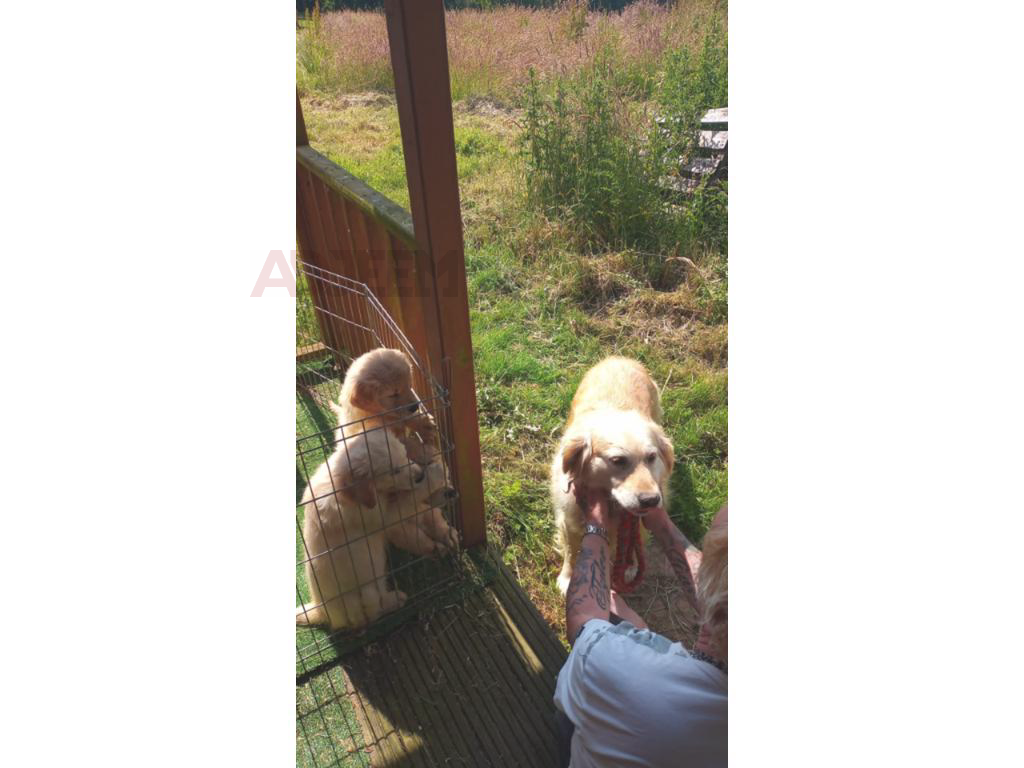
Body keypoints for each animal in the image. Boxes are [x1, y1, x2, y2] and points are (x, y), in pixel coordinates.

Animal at [296, 426, 450, 632]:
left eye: (404, 454)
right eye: (394, 471)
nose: (419, 475)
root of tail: (322, 611)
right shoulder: (380, 516)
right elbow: (410, 498)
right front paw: (435, 474)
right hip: (368, 592)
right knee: (371, 615)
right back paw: (395, 600)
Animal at [551, 357, 674, 593]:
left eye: (651, 457)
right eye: (618, 460)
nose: (651, 500)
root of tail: (620, 358)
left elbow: (633, 543)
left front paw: (629, 567)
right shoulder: (568, 520)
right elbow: (571, 551)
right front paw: (567, 577)